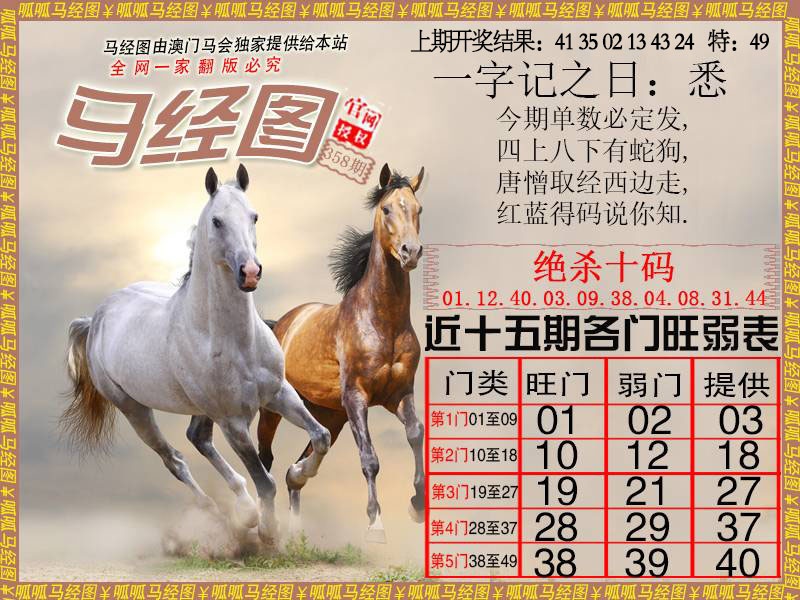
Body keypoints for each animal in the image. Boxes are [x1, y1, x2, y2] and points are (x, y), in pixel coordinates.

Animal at [63, 165, 331, 543]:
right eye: (217, 221)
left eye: (254, 216)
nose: (250, 272)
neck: (235, 341)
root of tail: (96, 317)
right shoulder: (233, 421)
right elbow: (265, 480)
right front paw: (268, 531)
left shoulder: (278, 393)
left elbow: (320, 437)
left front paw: (298, 474)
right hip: (134, 409)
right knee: (174, 459)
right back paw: (225, 515)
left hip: (200, 409)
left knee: (197, 438)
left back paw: (243, 509)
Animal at [256, 163, 425, 543]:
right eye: (386, 209)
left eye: (418, 209)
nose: (410, 252)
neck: (382, 321)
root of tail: (280, 324)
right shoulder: (357, 397)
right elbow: (370, 458)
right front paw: (376, 524)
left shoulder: (399, 395)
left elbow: (415, 434)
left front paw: (417, 505)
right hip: (275, 409)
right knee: (265, 458)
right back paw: (264, 524)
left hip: (329, 414)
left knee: (298, 465)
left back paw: (297, 509)